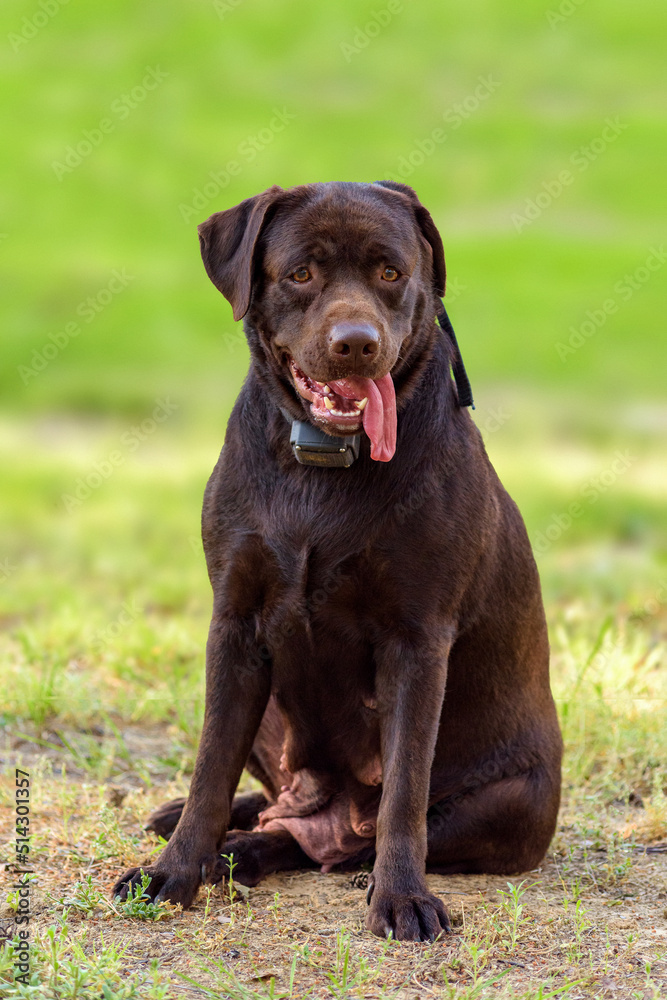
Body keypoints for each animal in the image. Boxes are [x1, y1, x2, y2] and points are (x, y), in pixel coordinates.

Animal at [116, 184, 564, 940]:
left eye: (390, 272)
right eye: (301, 273)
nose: (357, 344)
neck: (321, 467)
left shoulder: (416, 641)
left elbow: (404, 792)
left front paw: (403, 898)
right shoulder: (234, 625)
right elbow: (211, 766)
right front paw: (172, 872)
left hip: (514, 800)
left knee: (331, 843)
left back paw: (274, 854)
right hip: (268, 705)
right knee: (275, 809)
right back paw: (207, 832)